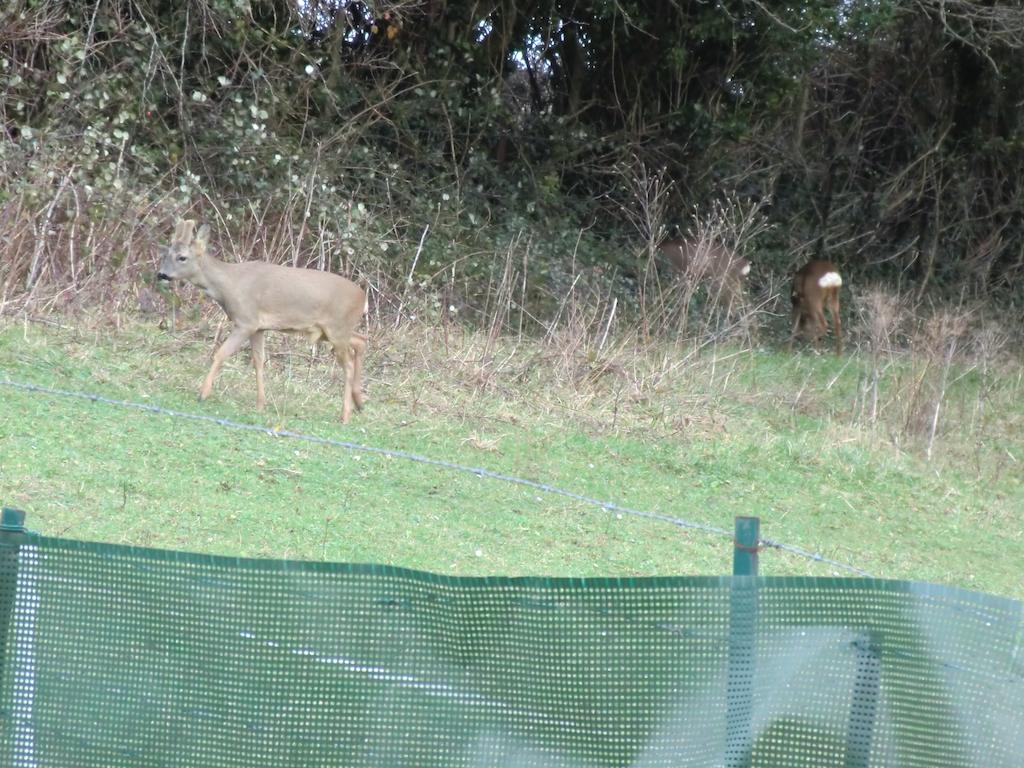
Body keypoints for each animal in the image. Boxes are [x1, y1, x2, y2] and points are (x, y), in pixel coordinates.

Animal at [155, 219, 368, 423]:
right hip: (330, 331)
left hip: (337, 328)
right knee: (360, 341)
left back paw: (345, 416)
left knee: (348, 364)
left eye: (182, 257)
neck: (228, 285)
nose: (161, 274)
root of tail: (363, 297)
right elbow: (258, 361)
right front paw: (260, 404)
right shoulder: (259, 327)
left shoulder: (246, 321)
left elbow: (221, 354)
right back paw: (359, 402)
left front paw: (203, 394)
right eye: (166, 253)